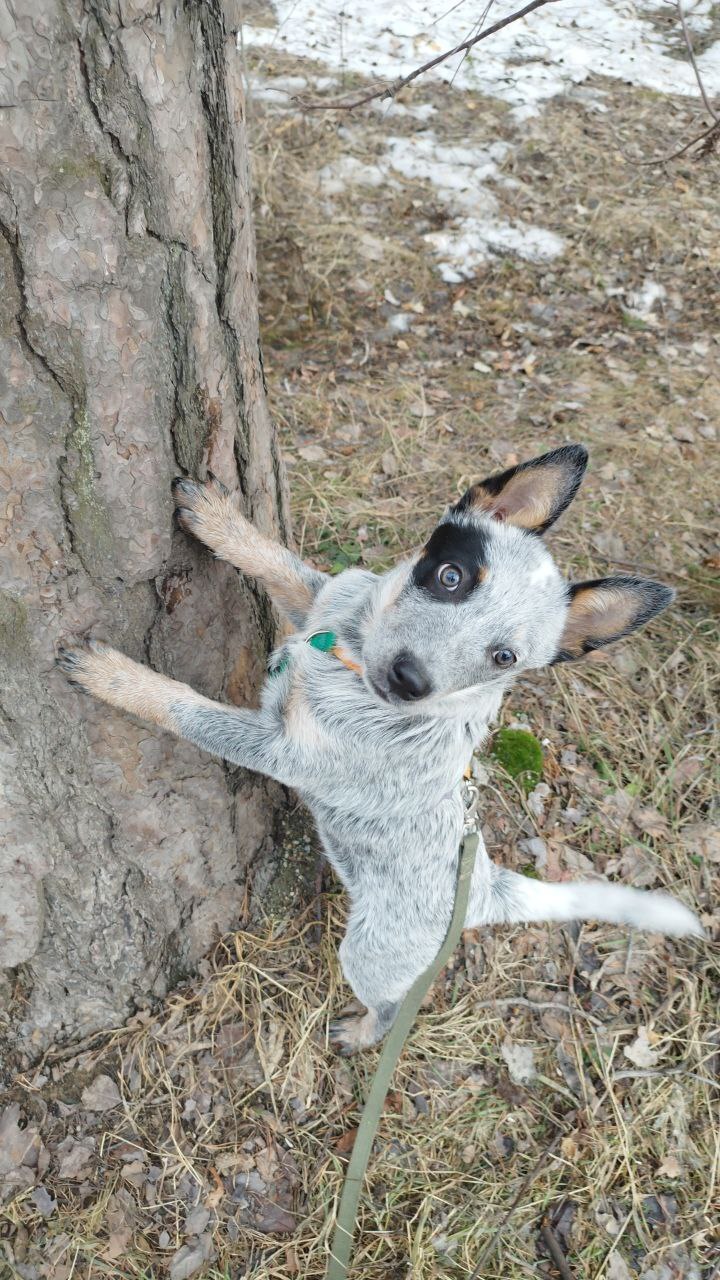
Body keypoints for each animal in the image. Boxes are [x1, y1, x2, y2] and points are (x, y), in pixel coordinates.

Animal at [57, 445, 702, 1054]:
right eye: (451, 577)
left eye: (505, 657)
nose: (409, 679)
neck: (341, 656)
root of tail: (488, 890)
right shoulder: (323, 600)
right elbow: (277, 561)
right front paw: (218, 518)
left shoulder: (279, 750)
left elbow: (188, 710)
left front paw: (115, 678)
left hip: (369, 952)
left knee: (392, 1007)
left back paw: (362, 1034)